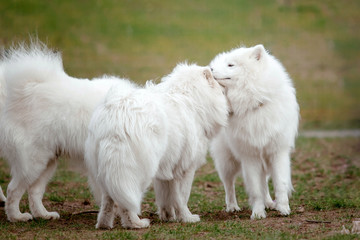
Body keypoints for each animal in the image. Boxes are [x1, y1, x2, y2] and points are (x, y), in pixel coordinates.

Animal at [0, 42, 138, 221]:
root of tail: (24, 90)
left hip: (47, 162)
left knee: (34, 191)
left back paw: (44, 215)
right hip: (33, 162)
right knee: (13, 190)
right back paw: (17, 217)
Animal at [84, 62, 228, 228]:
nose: (214, 70)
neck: (191, 99)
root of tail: (116, 116)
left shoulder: (166, 170)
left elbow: (167, 197)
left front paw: (169, 216)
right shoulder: (185, 169)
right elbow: (182, 197)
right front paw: (187, 217)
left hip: (106, 171)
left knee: (108, 200)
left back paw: (104, 224)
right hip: (136, 172)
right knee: (126, 203)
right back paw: (136, 224)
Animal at [210, 44, 300, 218]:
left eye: (230, 65)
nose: (210, 69)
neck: (255, 103)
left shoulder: (277, 152)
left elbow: (280, 184)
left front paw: (283, 208)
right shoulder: (250, 156)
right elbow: (255, 189)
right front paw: (258, 213)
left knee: (264, 182)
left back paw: (270, 203)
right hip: (227, 161)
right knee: (229, 185)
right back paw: (232, 206)